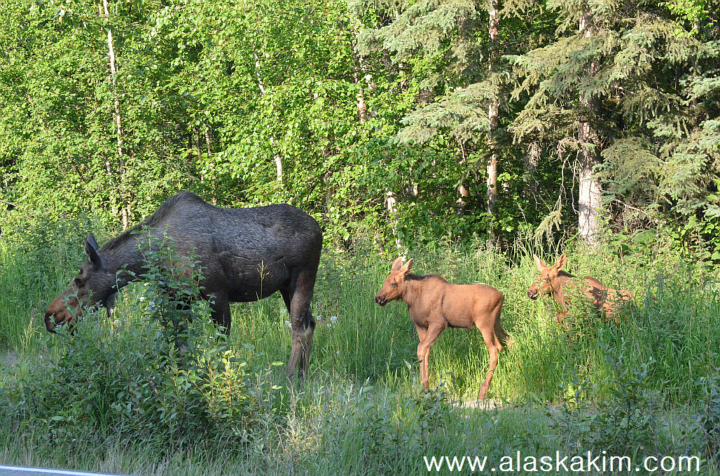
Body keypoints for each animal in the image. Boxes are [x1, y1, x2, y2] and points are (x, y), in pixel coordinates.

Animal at [45, 190, 324, 380]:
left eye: (79, 279)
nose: (51, 314)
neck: (155, 256)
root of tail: (320, 229)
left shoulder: (216, 294)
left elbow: (220, 345)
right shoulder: (177, 299)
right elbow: (181, 347)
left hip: (302, 278)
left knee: (298, 330)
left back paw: (289, 377)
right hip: (286, 288)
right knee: (310, 323)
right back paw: (303, 376)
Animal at [374, 258, 510, 400]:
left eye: (394, 283)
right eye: (384, 282)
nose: (378, 298)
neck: (413, 298)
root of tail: (502, 296)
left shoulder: (438, 323)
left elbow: (421, 349)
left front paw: (424, 387)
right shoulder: (421, 326)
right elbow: (425, 352)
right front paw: (424, 387)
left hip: (484, 322)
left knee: (494, 349)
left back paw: (482, 391)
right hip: (496, 321)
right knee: (506, 341)